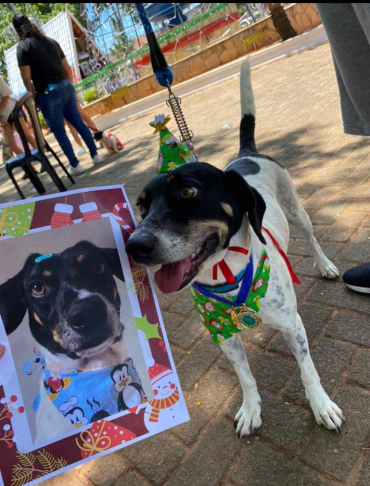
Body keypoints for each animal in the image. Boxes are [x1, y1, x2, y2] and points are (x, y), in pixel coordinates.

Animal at [125, 59, 342, 436]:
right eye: (142, 207)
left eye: (187, 192)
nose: (134, 245)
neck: (226, 275)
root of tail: (246, 154)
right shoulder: (224, 337)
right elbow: (245, 377)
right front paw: (251, 408)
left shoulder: (293, 326)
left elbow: (308, 370)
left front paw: (321, 405)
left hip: (296, 211)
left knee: (313, 238)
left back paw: (325, 265)